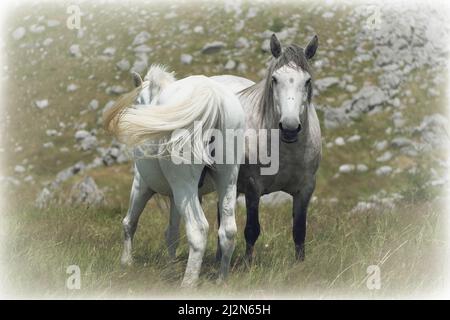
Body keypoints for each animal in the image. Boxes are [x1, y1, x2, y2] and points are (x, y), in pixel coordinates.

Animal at [104, 65, 246, 288]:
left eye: (138, 101)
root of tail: (212, 96)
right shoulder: (177, 196)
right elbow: (172, 233)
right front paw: (170, 267)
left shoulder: (141, 185)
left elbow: (130, 222)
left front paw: (126, 263)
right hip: (227, 180)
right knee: (228, 231)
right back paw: (221, 280)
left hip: (182, 187)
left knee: (198, 230)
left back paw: (188, 283)